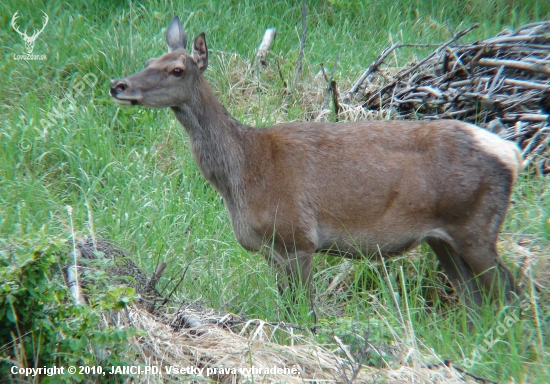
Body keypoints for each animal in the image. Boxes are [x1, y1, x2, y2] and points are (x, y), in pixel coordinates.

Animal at [111, 16, 528, 320]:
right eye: (148, 62)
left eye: (177, 70)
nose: (119, 85)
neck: (242, 173)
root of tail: (511, 150)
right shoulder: (272, 249)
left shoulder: (297, 237)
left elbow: (304, 311)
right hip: (442, 238)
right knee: (474, 297)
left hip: (475, 225)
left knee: (507, 290)